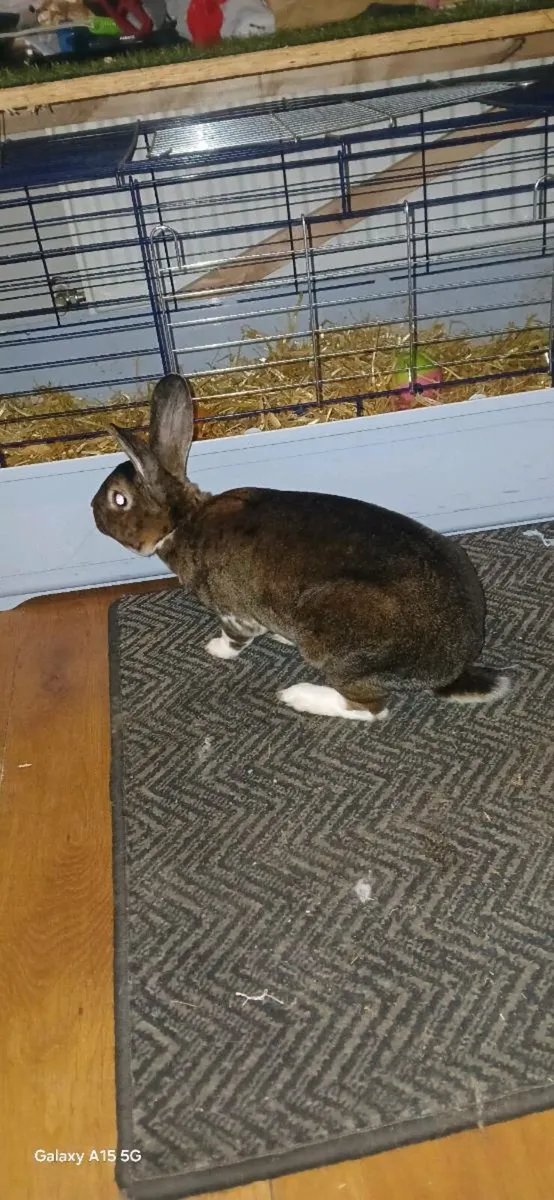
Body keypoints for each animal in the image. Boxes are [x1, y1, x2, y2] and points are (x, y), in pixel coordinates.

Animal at [91, 373, 510, 722]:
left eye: (119, 500)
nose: (92, 513)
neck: (182, 520)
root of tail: (451, 666)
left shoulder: (233, 611)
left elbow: (235, 638)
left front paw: (215, 648)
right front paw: (276, 635)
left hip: (335, 644)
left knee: (371, 708)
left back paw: (298, 696)